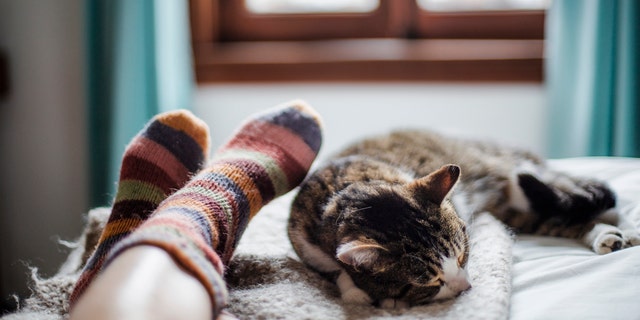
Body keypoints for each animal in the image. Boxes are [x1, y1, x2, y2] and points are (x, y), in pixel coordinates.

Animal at [290, 129, 640, 308]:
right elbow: (335, 269)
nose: (467, 287)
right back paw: (606, 236)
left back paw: (625, 229)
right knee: (560, 217)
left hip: (518, 176)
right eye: (431, 282)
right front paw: (355, 292)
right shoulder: (304, 243)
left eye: (462, 257)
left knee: (592, 197)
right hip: (516, 209)